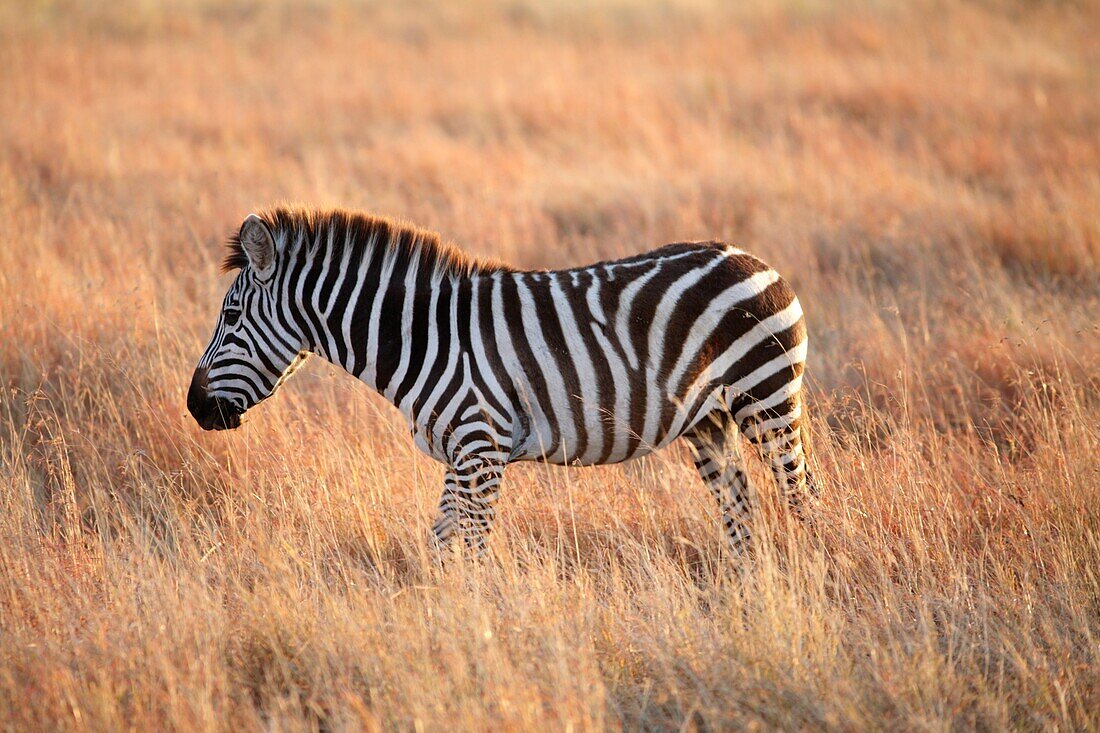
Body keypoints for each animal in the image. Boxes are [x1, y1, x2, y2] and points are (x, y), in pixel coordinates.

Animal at [184, 208, 814, 556]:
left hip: (766, 398)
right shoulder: (454, 456)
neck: (422, 337)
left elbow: (473, 551)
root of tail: (751, 258)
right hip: (709, 421)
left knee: (802, 496)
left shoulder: (481, 450)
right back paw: (742, 600)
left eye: (231, 319)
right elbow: (441, 548)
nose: (194, 407)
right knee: (740, 511)